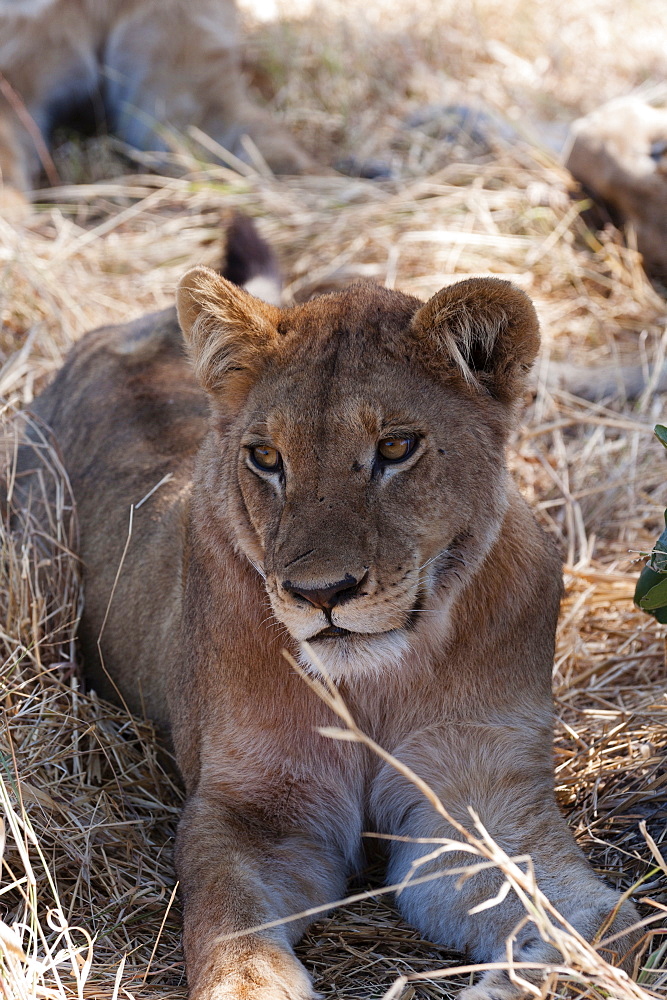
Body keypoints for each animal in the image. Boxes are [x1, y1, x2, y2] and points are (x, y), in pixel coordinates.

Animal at [17, 221, 640, 1000]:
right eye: (264, 457)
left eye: (396, 447)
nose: (321, 593)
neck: (374, 683)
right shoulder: (251, 812)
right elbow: (231, 931)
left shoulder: (480, 807)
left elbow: (609, 921)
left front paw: (530, 971)